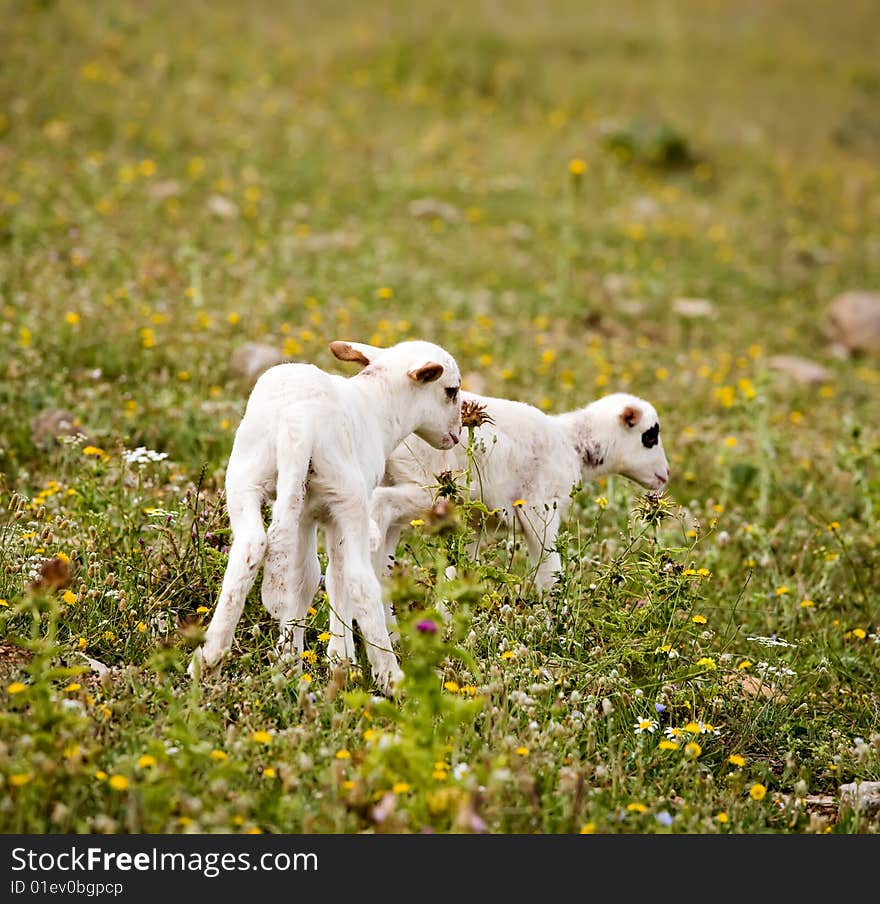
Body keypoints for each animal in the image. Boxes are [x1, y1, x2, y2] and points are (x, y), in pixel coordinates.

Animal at [189, 336, 464, 696]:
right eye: (451, 391)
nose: (457, 434)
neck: (379, 408)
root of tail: (297, 420)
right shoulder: (334, 516)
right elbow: (336, 578)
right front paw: (341, 660)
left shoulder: (305, 513)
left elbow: (304, 578)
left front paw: (292, 659)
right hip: (348, 496)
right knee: (361, 580)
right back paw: (391, 678)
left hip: (246, 475)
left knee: (250, 548)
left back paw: (209, 661)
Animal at [370, 388, 668, 592]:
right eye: (650, 436)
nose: (665, 476)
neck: (572, 444)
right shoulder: (540, 511)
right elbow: (549, 575)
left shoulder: (474, 523)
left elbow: (459, 571)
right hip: (431, 489)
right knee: (380, 504)